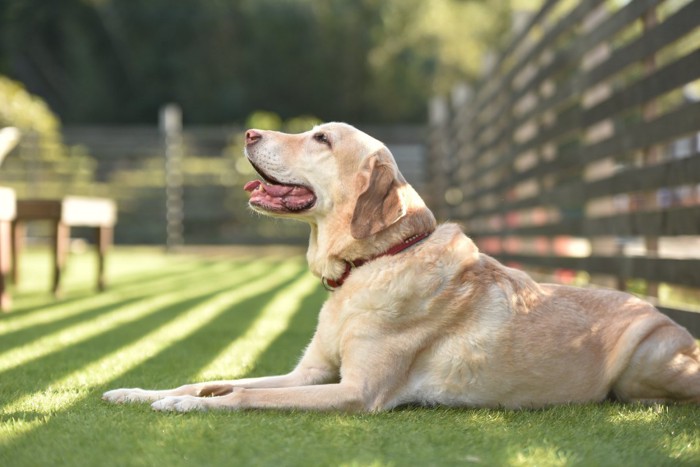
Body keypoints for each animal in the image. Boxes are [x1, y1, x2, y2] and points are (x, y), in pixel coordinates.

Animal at [104, 122, 700, 412]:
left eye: (321, 138)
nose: (248, 133)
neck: (369, 264)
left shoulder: (355, 392)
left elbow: (245, 395)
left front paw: (182, 409)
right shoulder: (309, 374)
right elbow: (209, 381)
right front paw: (141, 394)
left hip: (644, 362)